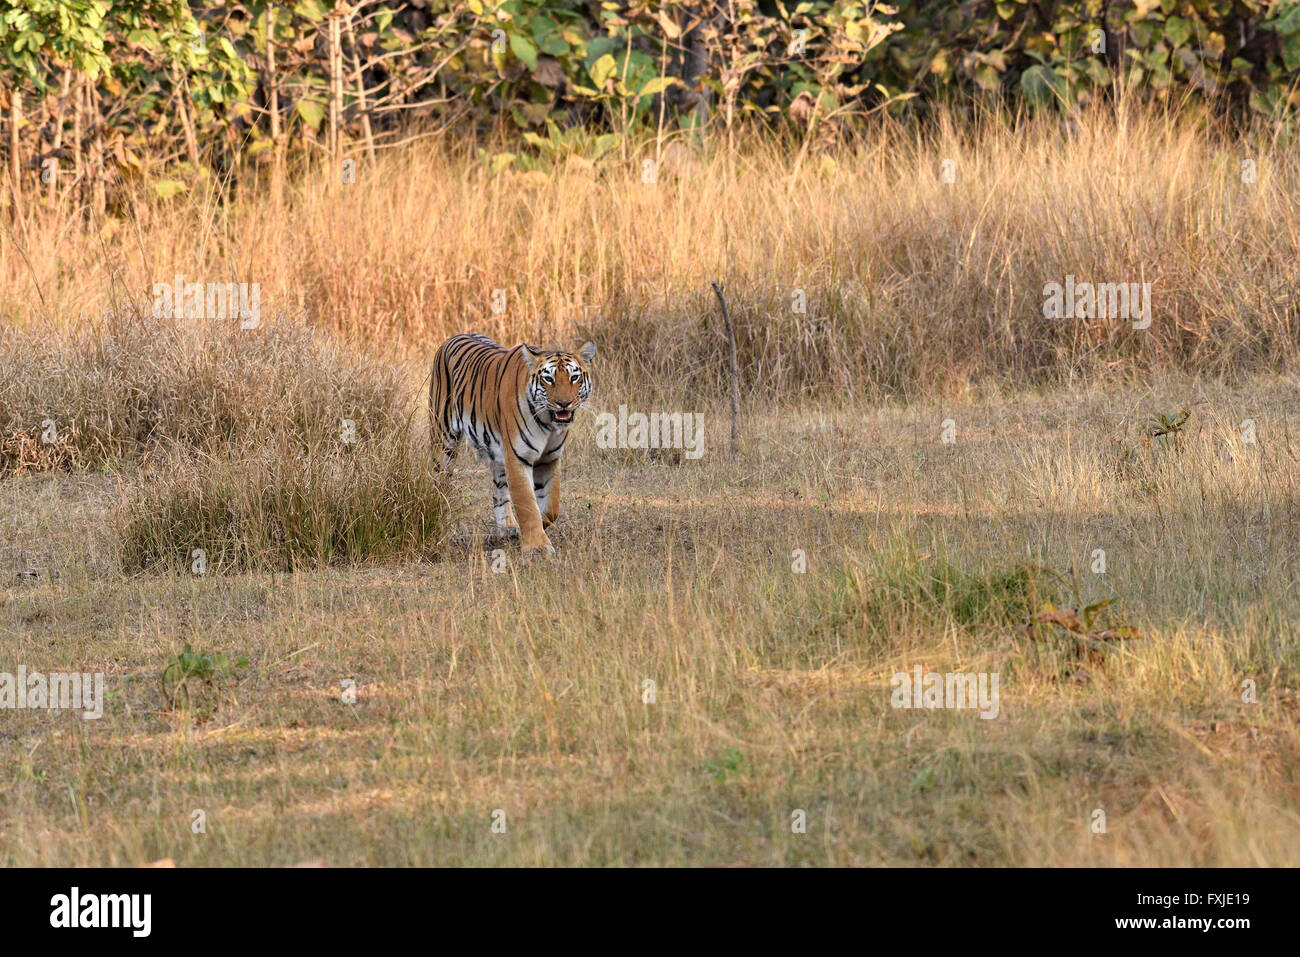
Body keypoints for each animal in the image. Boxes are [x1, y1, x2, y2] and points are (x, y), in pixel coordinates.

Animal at [429, 333, 596, 555]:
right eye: (548, 379)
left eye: (574, 377)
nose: (564, 403)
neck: (548, 422)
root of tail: (452, 337)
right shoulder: (518, 457)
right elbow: (527, 503)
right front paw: (538, 545)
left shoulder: (549, 458)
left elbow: (551, 507)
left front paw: (538, 528)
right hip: (443, 438)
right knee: (440, 481)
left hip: (497, 452)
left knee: (499, 490)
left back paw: (507, 527)